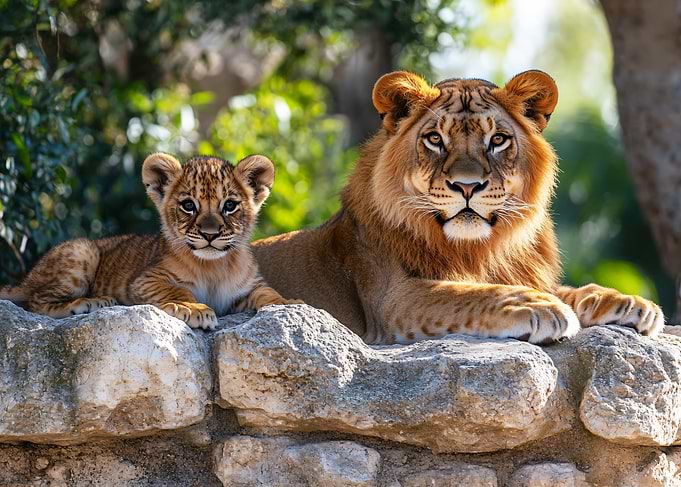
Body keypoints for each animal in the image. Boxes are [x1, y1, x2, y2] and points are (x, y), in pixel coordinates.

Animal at [0, 153, 298, 329]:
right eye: (188, 205)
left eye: (230, 206)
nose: (210, 235)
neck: (215, 266)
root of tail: (27, 278)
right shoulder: (145, 281)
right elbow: (177, 290)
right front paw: (193, 308)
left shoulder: (247, 289)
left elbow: (268, 293)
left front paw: (291, 304)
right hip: (82, 250)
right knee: (36, 301)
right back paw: (89, 303)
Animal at [254, 70, 664, 344]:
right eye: (435, 139)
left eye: (497, 140)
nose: (467, 186)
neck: (477, 249)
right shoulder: (390, 301)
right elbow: (466, 293)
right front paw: (538, 306)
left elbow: (567, 290)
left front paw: (625, 302)